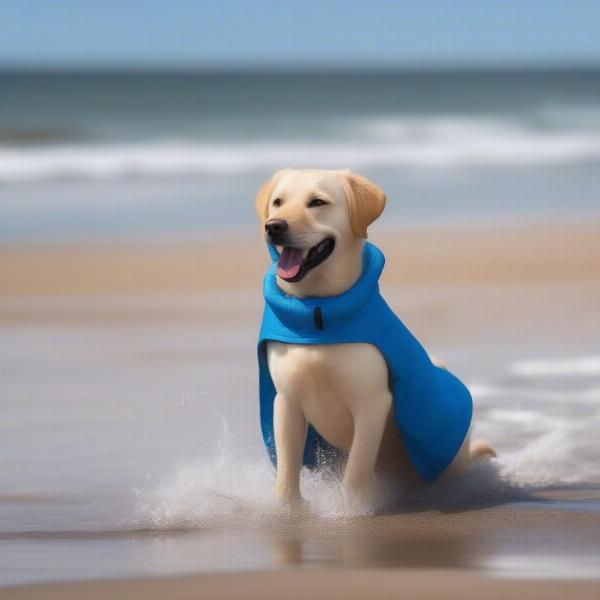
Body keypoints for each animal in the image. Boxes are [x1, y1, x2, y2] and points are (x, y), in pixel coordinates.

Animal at [255, 169, 494, 506]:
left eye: (317, 202)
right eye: (277, 202)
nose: (274, 226)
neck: (318, 314)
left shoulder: (372, 403)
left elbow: (356, 471)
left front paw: (353, 510)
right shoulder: (287, 402)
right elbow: (288, 471)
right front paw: (289, 510)